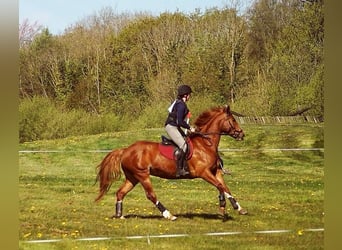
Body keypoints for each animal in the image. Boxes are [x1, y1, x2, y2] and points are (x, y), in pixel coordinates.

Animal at [95, 105, 247, 221]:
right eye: (233, 120)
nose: (241, 134)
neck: (205, 144)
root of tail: (126, 150)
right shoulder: (204, 173)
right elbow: (220, 187)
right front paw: (222, 208)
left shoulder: (216, 172)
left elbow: (225, 188)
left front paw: (239, 208)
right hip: (142, 175)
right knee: (151, 195)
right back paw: (169, 215)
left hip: (132, 177)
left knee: (120, 192)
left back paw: (119, 215)